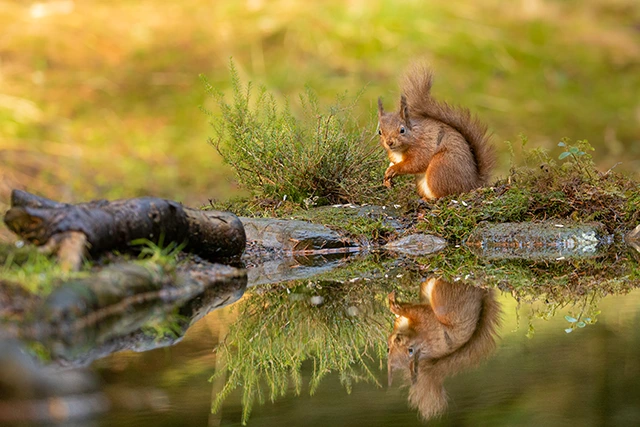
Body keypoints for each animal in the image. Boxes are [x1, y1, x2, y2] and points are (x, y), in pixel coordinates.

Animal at [377, 63, 495, 199]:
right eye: (380, 132)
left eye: (402, 130)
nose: (389, 142)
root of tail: (473, 184)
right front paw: (387, 175)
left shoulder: (423, 146)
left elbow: (415, 163)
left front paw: (393, 170)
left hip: (440, 167)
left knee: (444, 193)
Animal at [387, 277, 501, 420]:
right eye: (388, 349)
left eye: (410, 351)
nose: (398, 339)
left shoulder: (425, 319)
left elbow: (411, 310)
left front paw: (393, 304)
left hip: (442, 297)